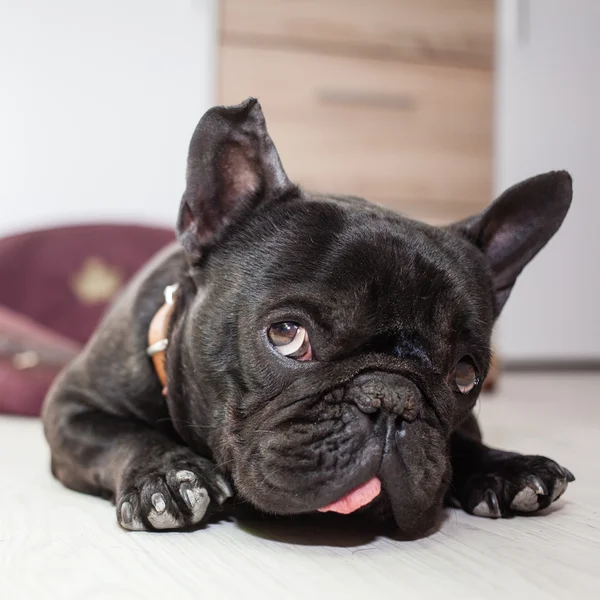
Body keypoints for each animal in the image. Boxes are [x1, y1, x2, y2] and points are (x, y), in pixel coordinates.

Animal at [39, 98, 576, 540]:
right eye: (287, 335)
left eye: (465, 374)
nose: (393, 398)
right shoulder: (70, 408)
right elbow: (121, 436)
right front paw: (167, 473)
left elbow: (460, 443)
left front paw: (509, 468)